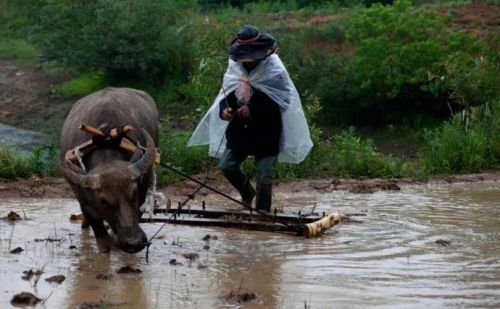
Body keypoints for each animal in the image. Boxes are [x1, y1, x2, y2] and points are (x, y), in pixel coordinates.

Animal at [60, 86, 158, 253]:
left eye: (134, 193)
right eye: (103, 201)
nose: (134, 242)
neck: (106, 140)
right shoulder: (85, 203)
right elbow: (103, 243)